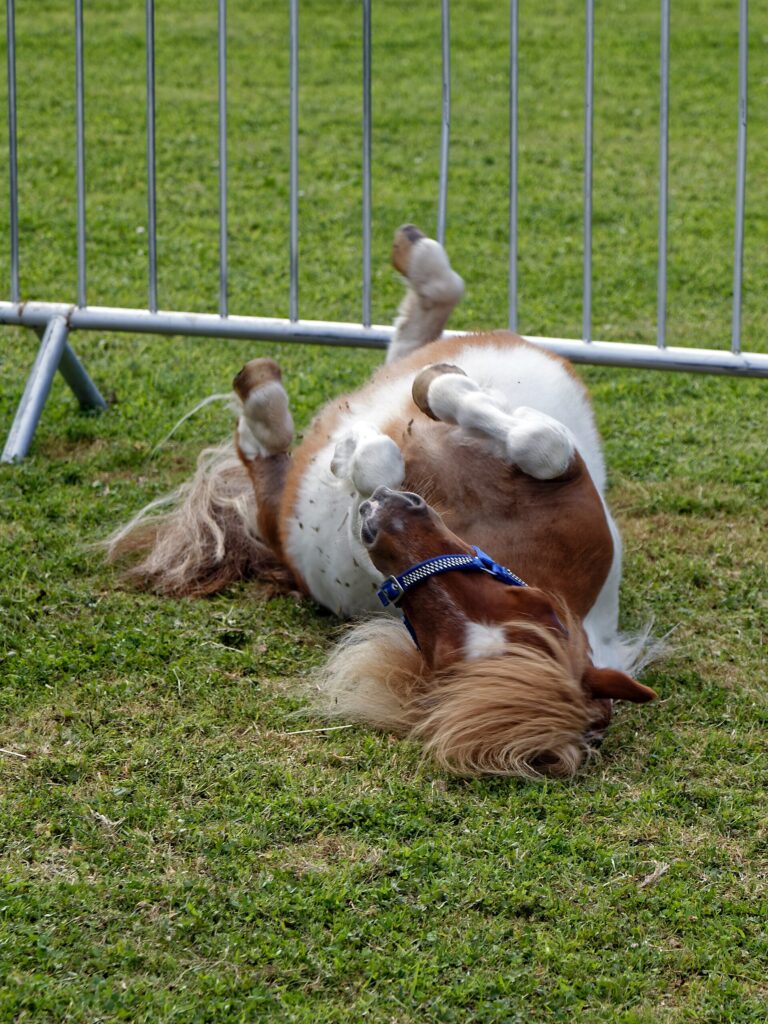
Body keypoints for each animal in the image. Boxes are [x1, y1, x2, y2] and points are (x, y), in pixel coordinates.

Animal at [107, 224, 657, 778]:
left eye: (434, 648)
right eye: (535, 603)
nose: (392, 515)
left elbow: (381, 461)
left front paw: (353, 451)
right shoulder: (571, 484)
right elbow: (539, 442)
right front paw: (436, 392)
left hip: (286, 519)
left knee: (267, 466)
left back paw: (266, 403)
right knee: (408, 349)